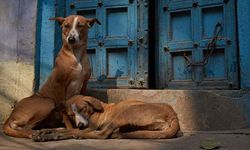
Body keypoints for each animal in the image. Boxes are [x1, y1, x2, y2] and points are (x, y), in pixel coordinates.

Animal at [32, 95, 180, 141]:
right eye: (72, 115)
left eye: (82, 109)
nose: (80, 125)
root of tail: (173, 115)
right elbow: (63, 129)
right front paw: (44, 131)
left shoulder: (90, 126)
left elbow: (69, 130)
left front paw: (48, 134)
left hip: (125, 112)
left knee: (102, 135)